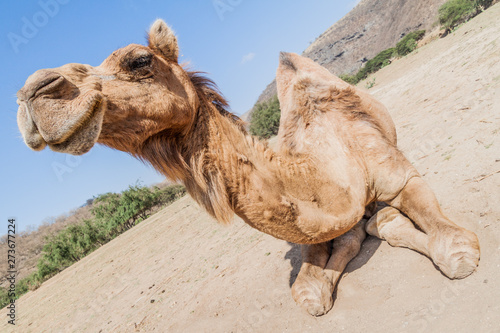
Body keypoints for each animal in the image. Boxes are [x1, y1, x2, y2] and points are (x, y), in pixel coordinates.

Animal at [16, 19, 480, 316]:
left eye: (139, 61)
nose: (33, 92)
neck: (330, 166)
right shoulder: (325, 216)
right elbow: (309, 290)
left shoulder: (397, 174)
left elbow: (456, 250)